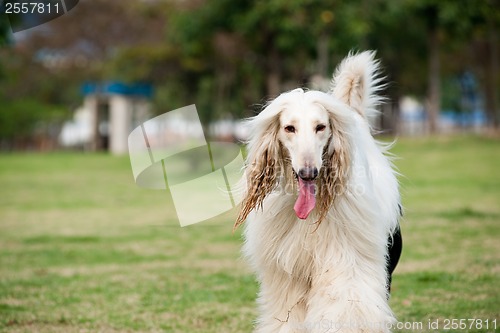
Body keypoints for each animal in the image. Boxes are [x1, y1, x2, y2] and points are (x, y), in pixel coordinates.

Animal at [236, 50, 404, 330]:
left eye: (321, 127)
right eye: (289, 128)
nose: (308, 172)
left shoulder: (346, 259)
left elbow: (346, 306)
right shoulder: (288, 273)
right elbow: (287, 315)